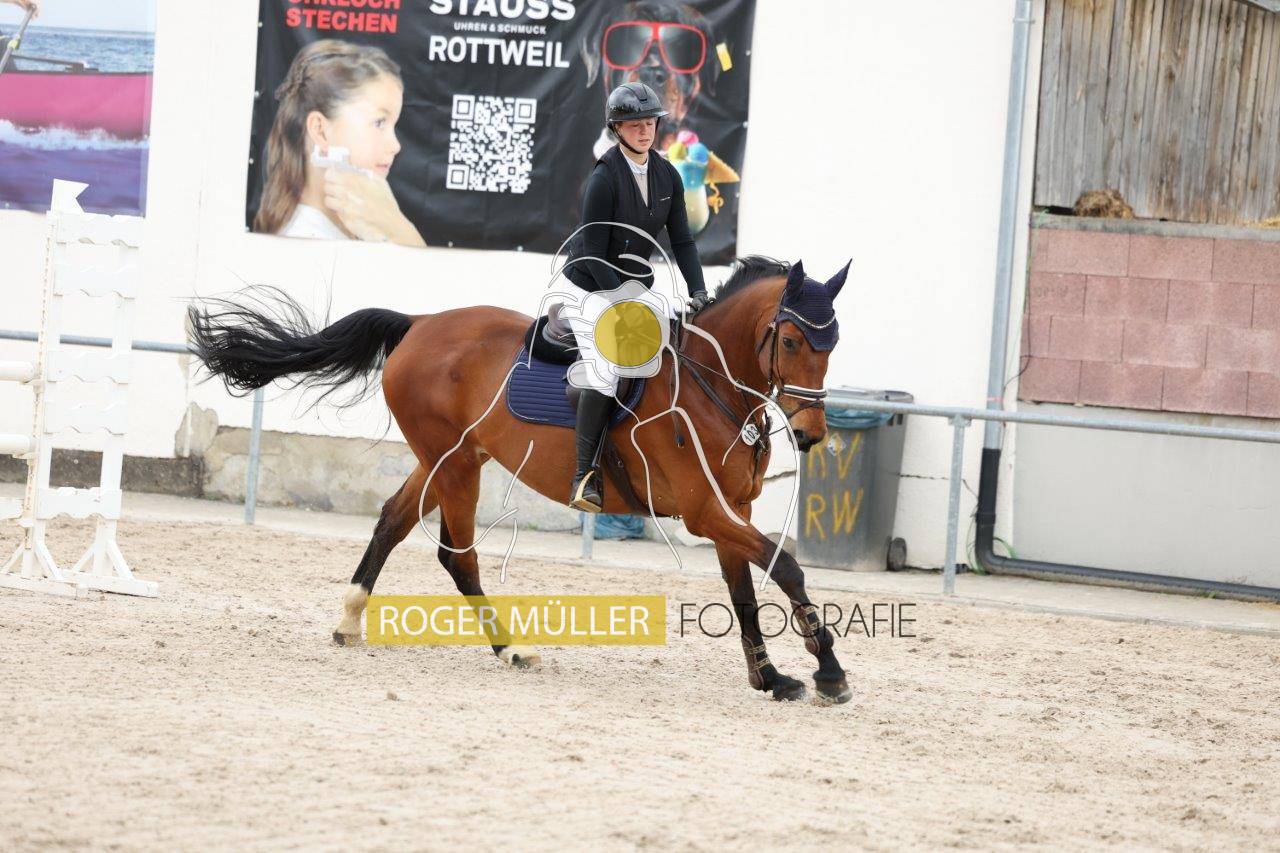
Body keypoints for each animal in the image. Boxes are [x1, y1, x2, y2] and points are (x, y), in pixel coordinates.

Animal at [188, 256, 853, 703]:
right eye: (790, 340)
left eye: (833, 343)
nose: (811, 433)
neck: (712, 386)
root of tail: (420, 323)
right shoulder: (705, 512)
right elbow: (787, 568)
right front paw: (828, 672)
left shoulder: (731, 512)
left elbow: (745, 592)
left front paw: (770, 677)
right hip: (455, 465)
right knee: (458, 557)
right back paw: (510, 647)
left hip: (446, 458)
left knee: (392, 521)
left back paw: (351, 620)